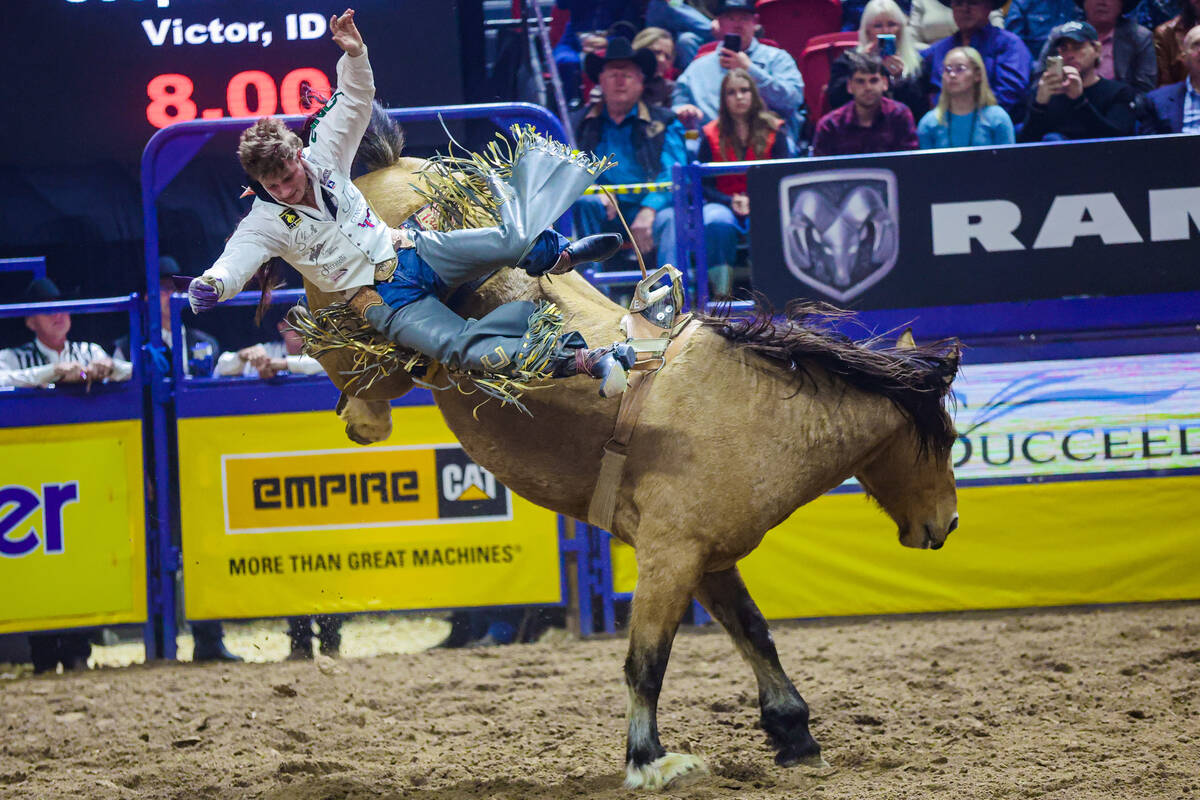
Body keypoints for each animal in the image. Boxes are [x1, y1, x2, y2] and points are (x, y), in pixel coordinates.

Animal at [295, 110, 960, 786]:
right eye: (949, 441)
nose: (949, 524)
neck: (752, 412)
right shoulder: (668, 559)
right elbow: (647, 663)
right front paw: (649, 759)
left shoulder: (709, 559)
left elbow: (755, 632)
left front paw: (794, 732)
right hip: (358, 316)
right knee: (338, 352)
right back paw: (364, 415)